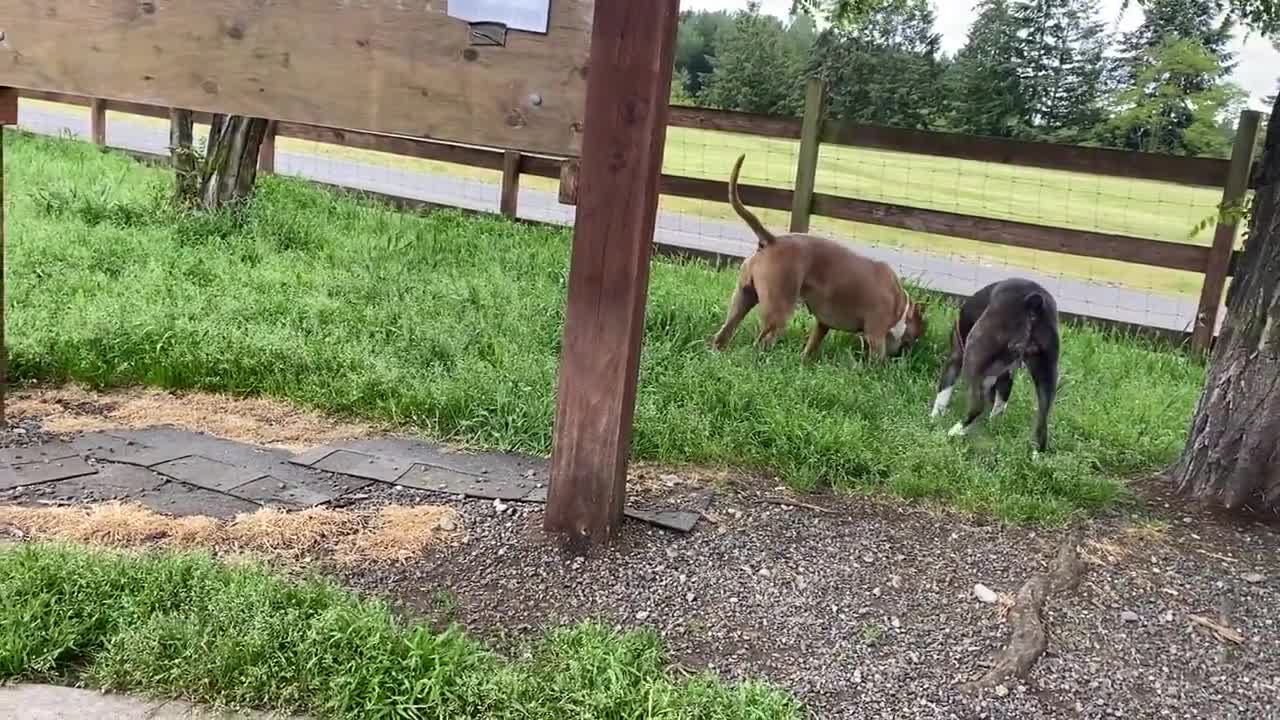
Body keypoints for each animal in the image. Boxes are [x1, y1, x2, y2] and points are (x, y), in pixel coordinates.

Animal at [711, 155, 931, 361]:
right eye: (915, 336)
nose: (908, 355)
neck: (900, 306)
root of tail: (772, 240)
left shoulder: (823, 324)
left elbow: (813, 344)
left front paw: (804, 362)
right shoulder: (875, 335)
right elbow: (877, 359)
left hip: (743, 298)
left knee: (723, 333)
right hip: (778, 311)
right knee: (760, 343)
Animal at [931, 278, 1059, 450]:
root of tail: (1033, 303)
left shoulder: (955, 360)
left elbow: (943, 393)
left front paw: (934, 418)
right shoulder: (1005, 376)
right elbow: (999, 404)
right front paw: (992, 427)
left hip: (973, 353)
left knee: (977, 406)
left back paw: (955, 431)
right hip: (1047, 376)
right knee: (1042, 426)